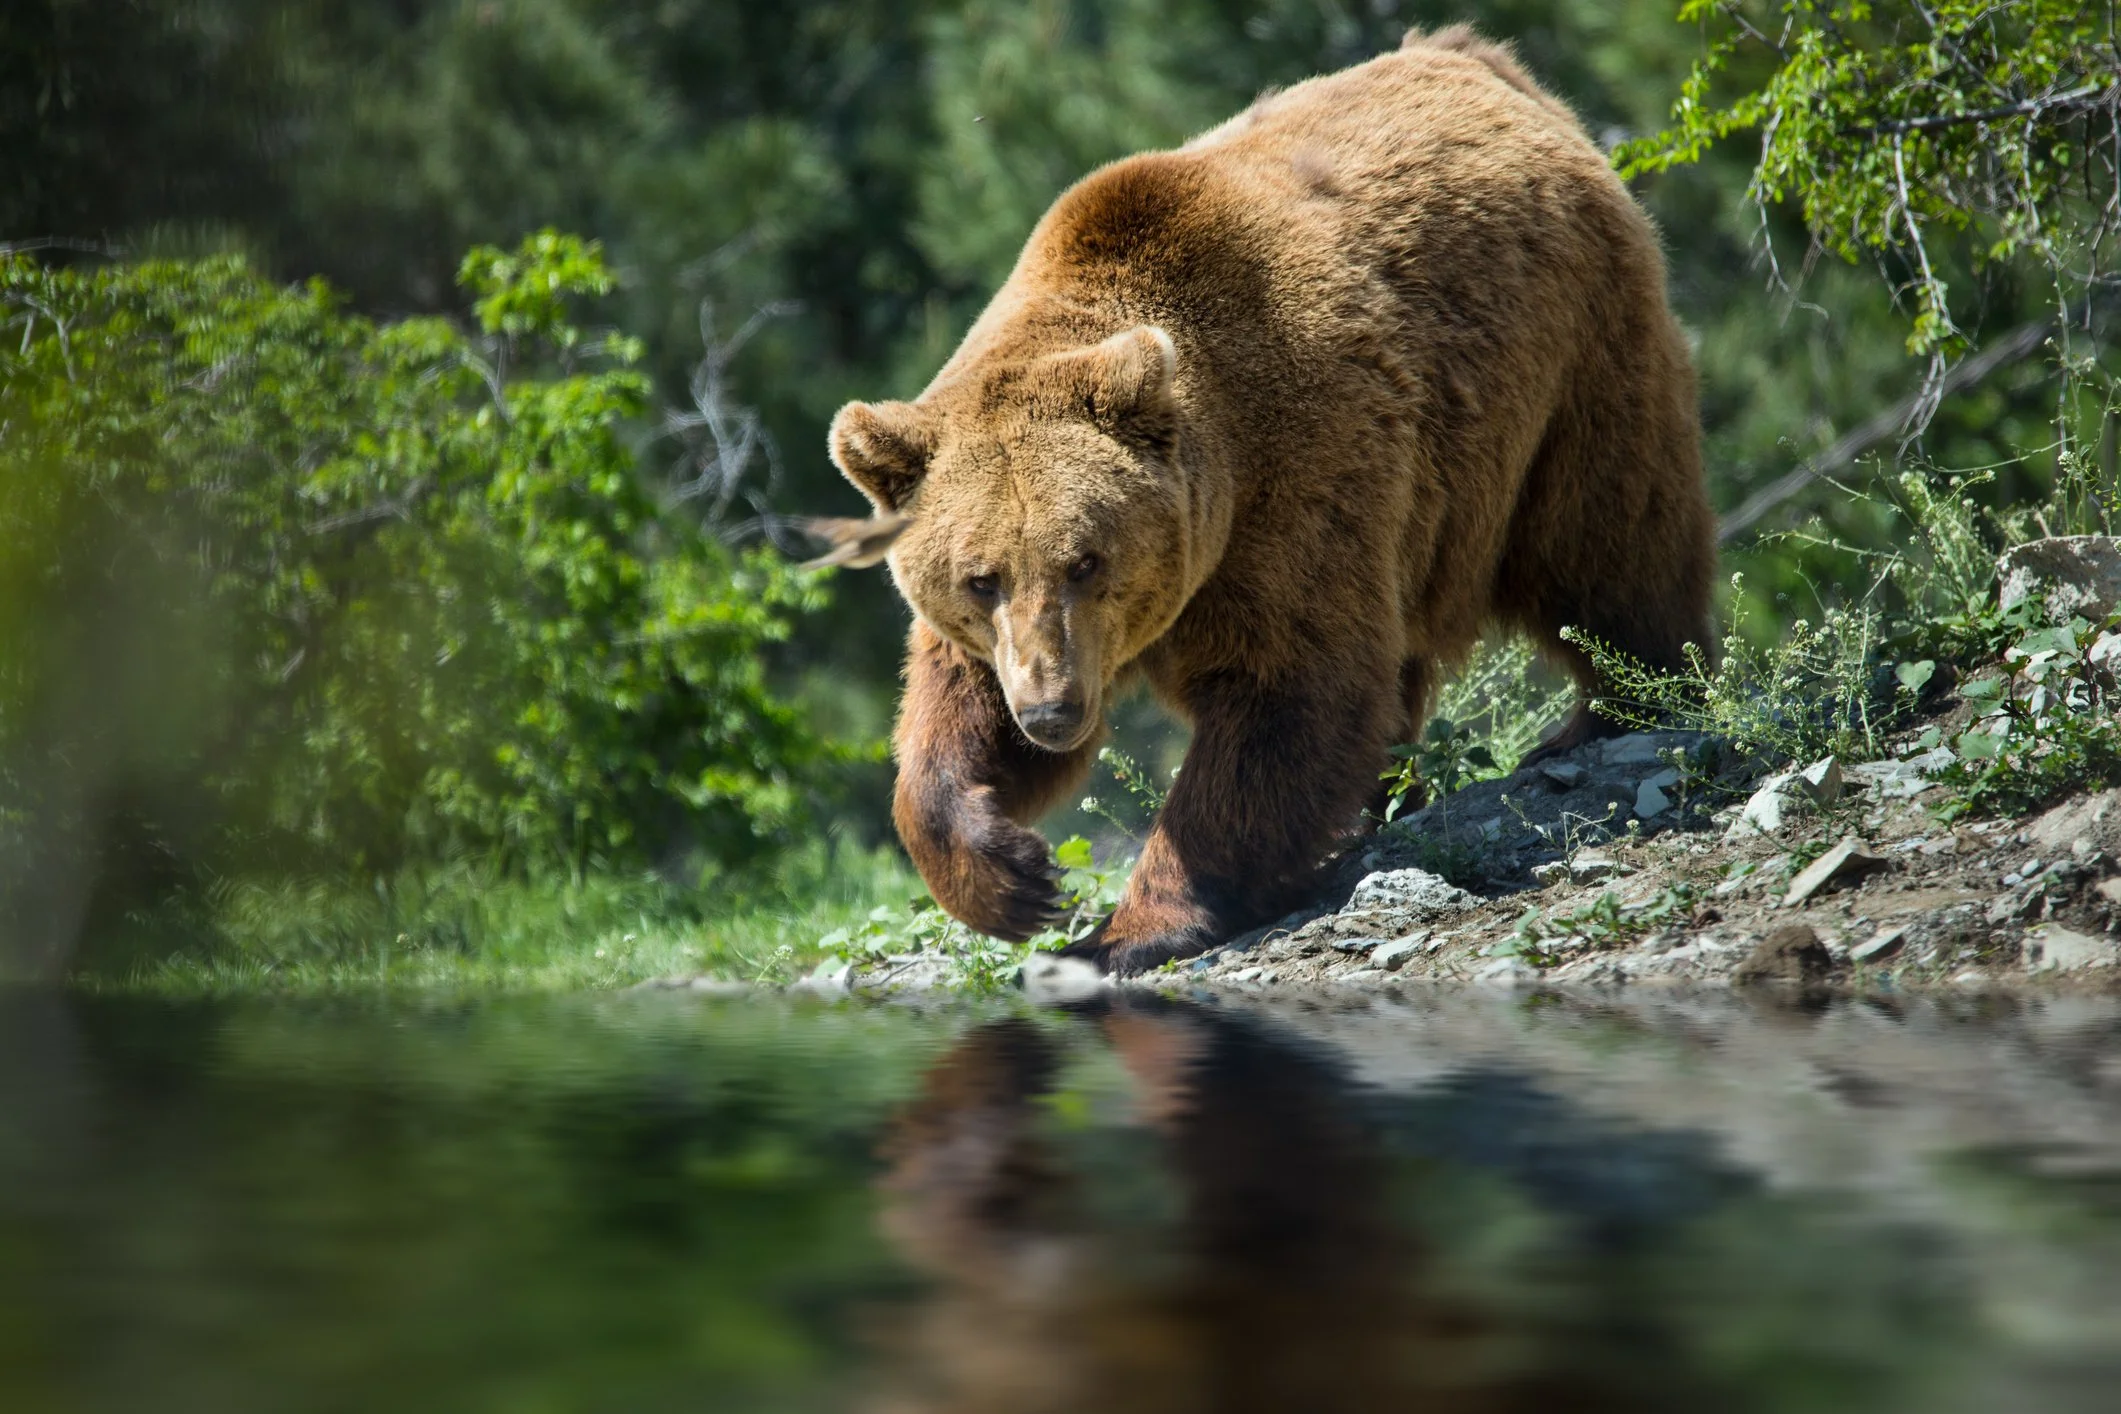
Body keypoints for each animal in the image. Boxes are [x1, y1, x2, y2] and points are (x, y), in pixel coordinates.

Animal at [813, 26, 1716, 975]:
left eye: (1086, 560)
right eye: (980, 578)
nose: (1051, 711)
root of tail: (1476, 58)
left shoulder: (1293, 478)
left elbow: (1288, 690)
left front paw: (1127, 929)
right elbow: (956, 707)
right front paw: (1012, 874)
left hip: (1565, 363)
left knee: (1607, 541)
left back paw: (1616, 707)